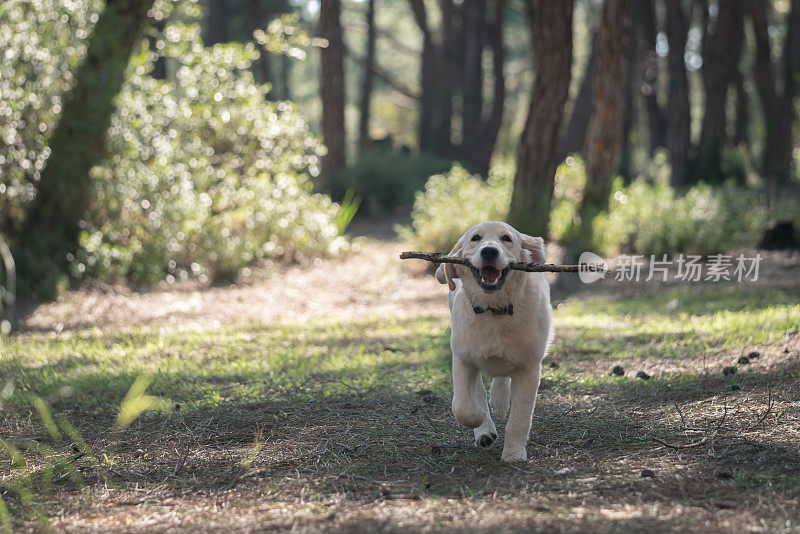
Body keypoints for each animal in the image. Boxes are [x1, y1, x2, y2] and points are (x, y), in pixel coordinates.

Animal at [434, 220, 552, 462]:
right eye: (475, 238)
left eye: (506, 238)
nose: (489, 251)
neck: (493, 310)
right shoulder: (463, 359)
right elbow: (463, 406)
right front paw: (480, 421)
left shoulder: (529, 367)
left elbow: (520, 418)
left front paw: (514, 455)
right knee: (479, 390)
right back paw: (485, 428)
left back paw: (499, 401)